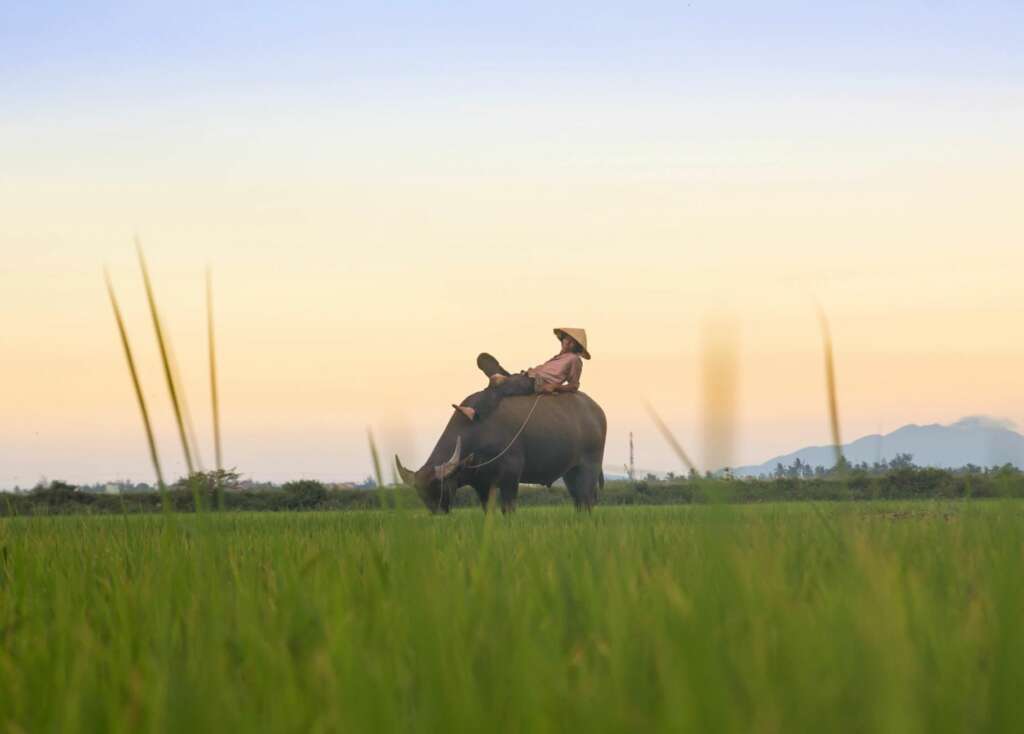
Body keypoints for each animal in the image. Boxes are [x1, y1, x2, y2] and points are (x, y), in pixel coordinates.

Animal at [397, 393, 606, 511]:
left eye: (439, 487)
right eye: (420, 493)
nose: (438, 513)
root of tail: (597, 411)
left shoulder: (510, 477)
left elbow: (508, 509)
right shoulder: (481, 485)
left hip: (589, 467)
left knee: (587, 500)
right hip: (570, 473)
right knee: (579, 501)